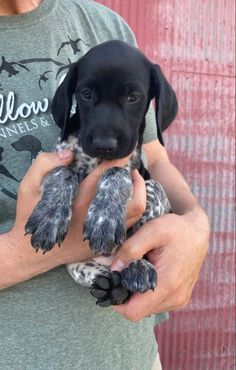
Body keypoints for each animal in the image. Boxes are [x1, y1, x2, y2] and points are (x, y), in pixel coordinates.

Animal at [25, 40, 177, 306]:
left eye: (132, 97)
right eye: (86, 94)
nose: (104, 144)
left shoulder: (138, 173)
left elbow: (121, 174)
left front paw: (104, 218)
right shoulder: (53, 159)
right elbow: (62, 173)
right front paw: (49, 217)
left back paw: (135, 269)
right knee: (78, 267)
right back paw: (109, 284)